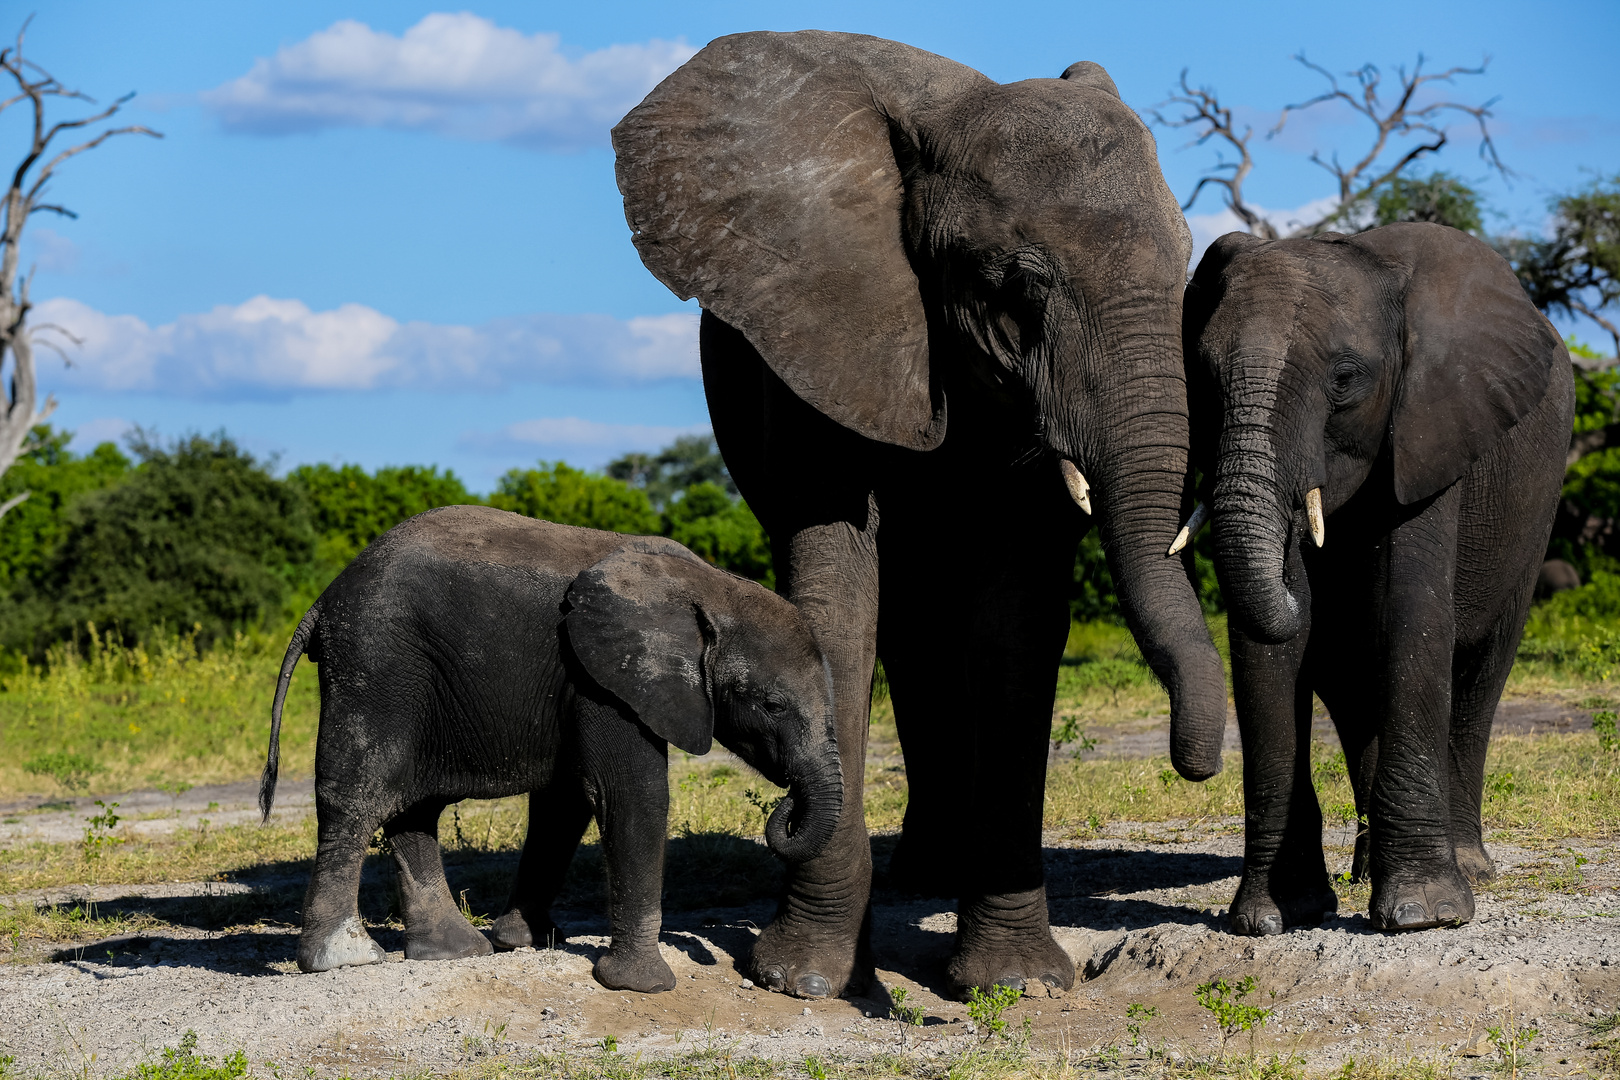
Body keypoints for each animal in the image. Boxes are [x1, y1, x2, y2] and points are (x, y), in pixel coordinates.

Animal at [259, 501, 842, 990]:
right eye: (771, 704)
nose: (786, 807)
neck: (707, 586)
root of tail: (324, 598)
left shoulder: (586, 679)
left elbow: (566, 802)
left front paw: (524, 941)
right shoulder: (601, 676)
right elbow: (631, 793)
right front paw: (641, 986)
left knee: (414, 808)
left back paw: (455, 952)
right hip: (376, 663)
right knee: (357, 793)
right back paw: (343, 958)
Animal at [612, 27, 1218, 1003]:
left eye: (1190, 260)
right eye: (1021, 284)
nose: (1193, 764)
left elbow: (1016, 618)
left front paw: (1016, 985)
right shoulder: (825, 329)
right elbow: (837, 597)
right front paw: (805, 980)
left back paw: (936, 876)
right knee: (909, 625)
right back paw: (919, 876)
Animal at [1185, 226, 1574, 939]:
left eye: (1345, 380)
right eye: (1202, 375)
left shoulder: (1432, 426)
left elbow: (1410, 610)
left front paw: (1425, 916)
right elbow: (1274, 647)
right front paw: (1270, 919)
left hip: (1536, 510)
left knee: (1480, 676)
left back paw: (1469, 869)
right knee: (1350, 684)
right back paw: (1367, 872)